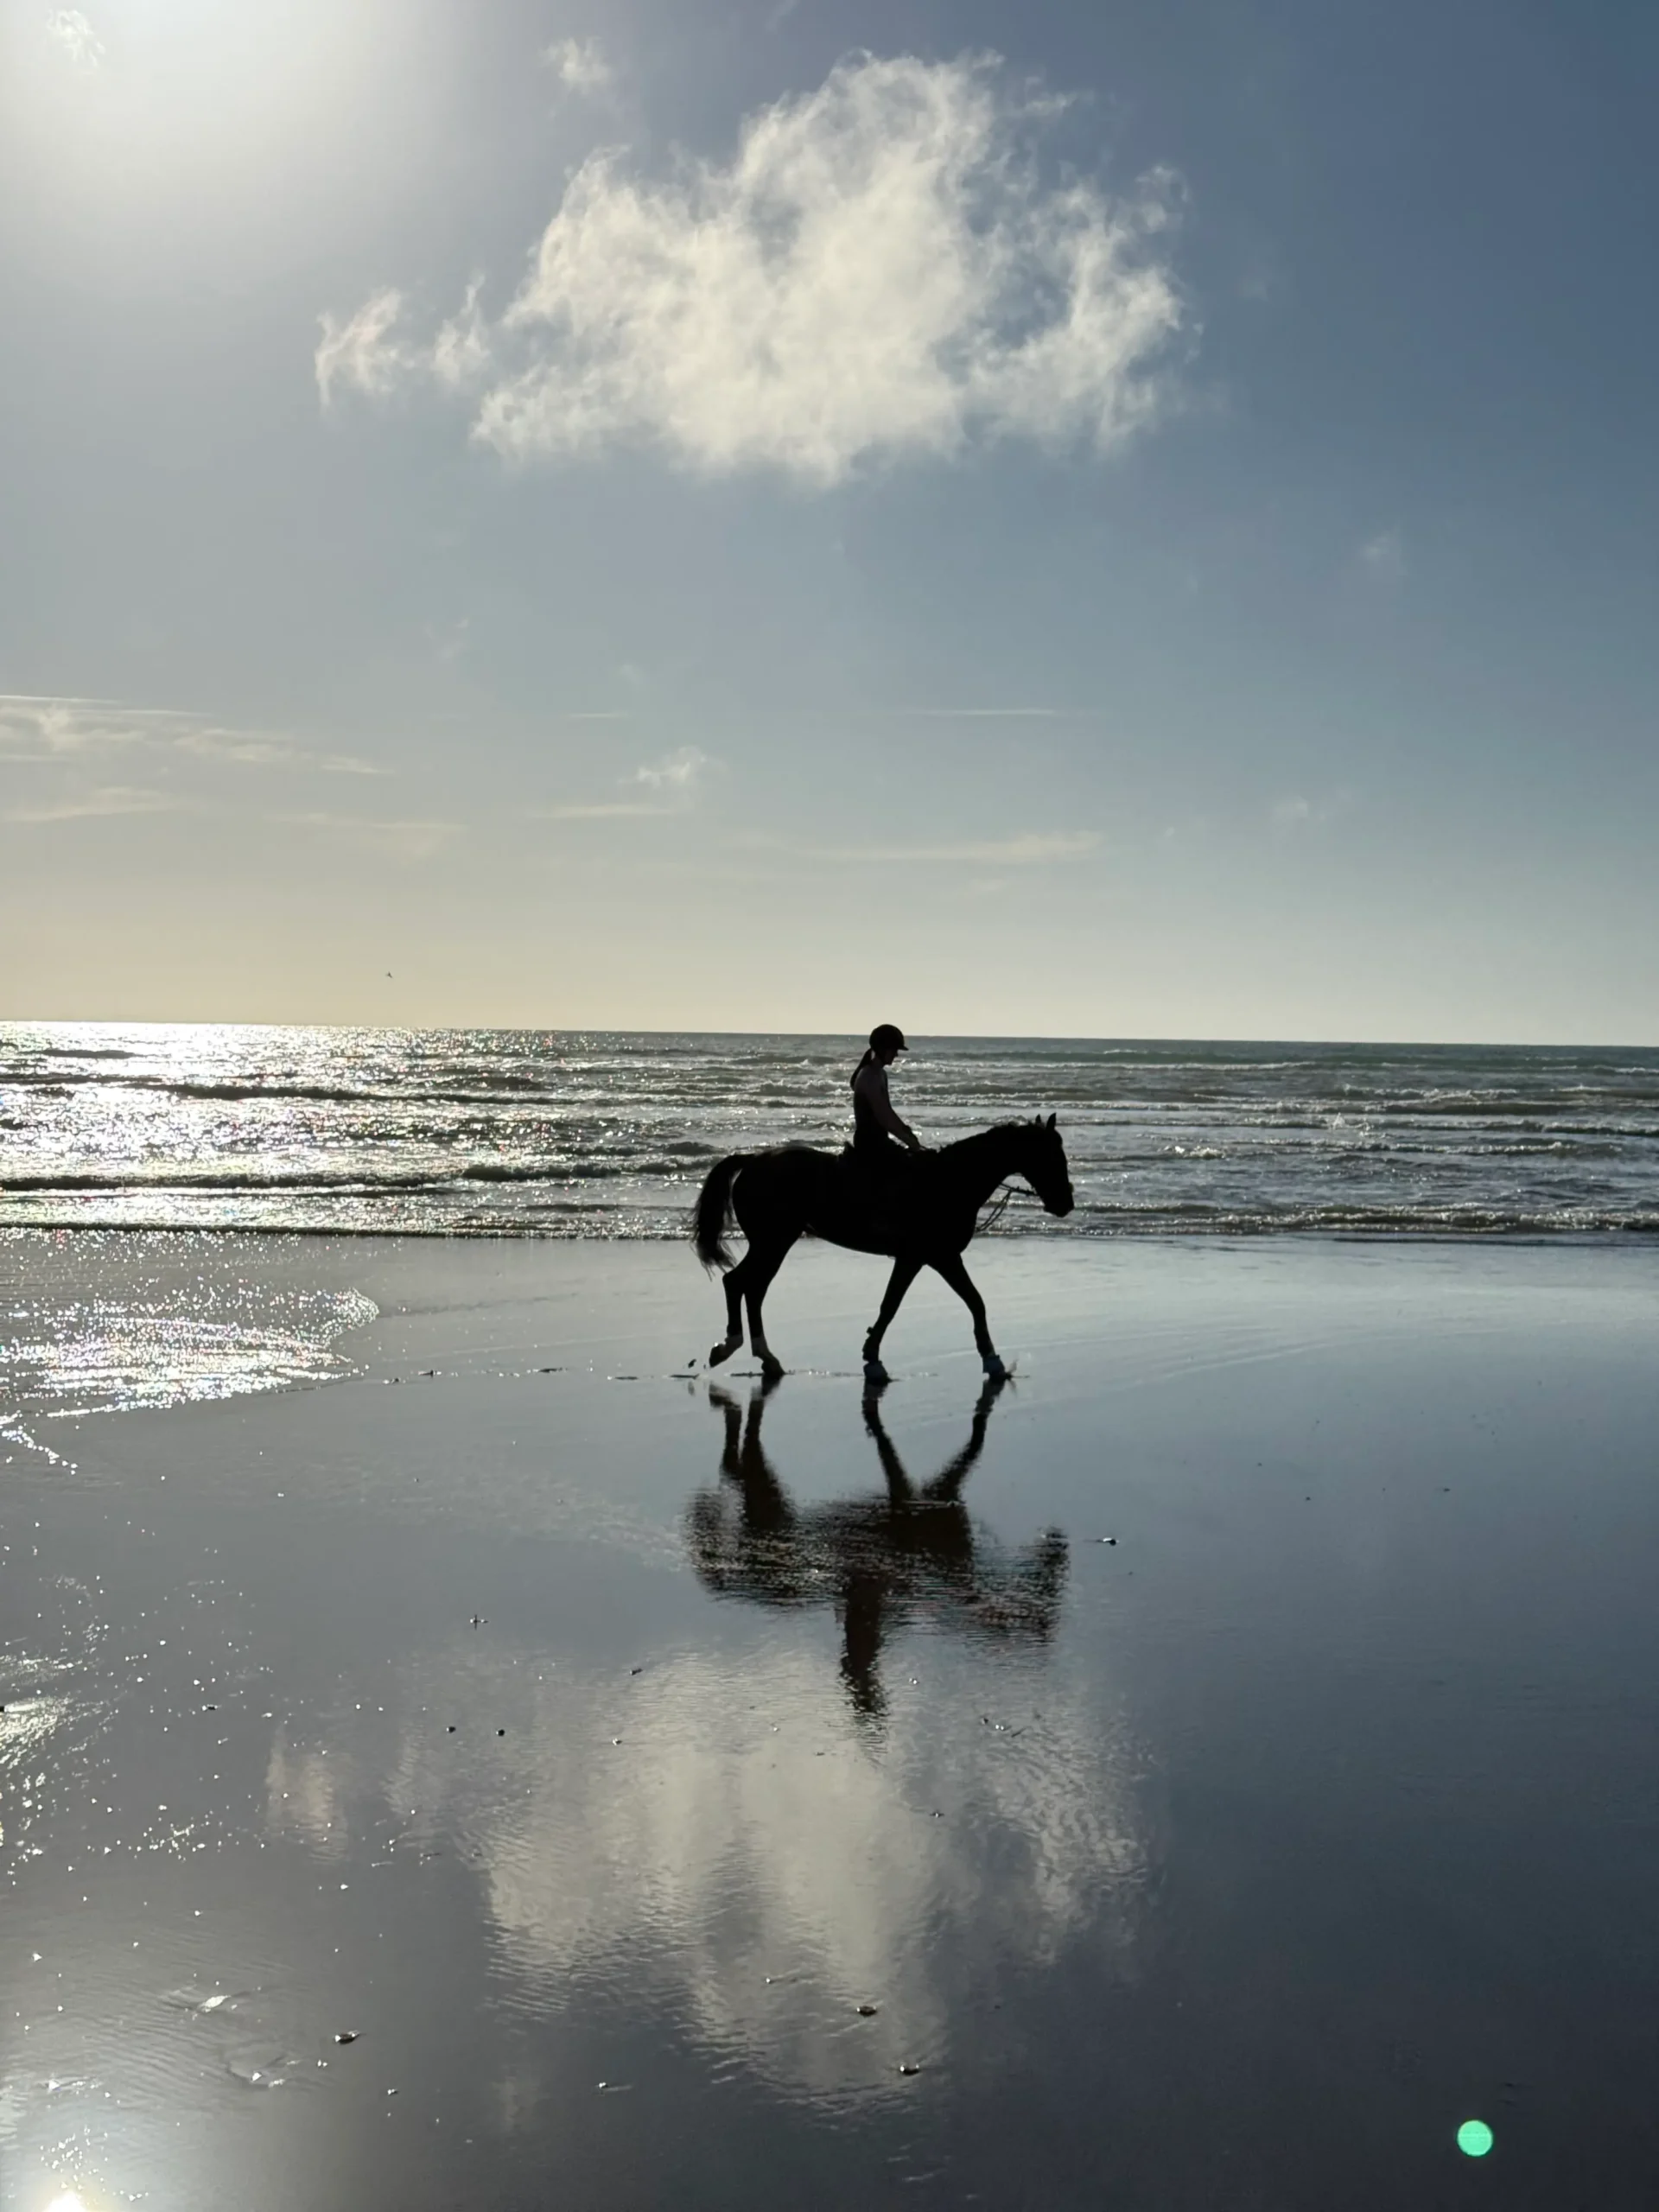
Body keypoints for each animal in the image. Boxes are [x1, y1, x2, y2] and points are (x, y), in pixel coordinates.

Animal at [690, 1114, 1074, 1382]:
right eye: (1052, 1158)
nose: (1066, 1204)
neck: (950, 1182)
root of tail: (753, 1160)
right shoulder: (936, 1256)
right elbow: (963, 1302)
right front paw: (992, 1361)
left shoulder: (918, 1258)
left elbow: (896, 1304)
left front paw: (871, 1356)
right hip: (773, 1241)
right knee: (740, 1284)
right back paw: (731, 1348)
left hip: (773, 1242)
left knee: (750, 1288)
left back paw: (765, 1359)